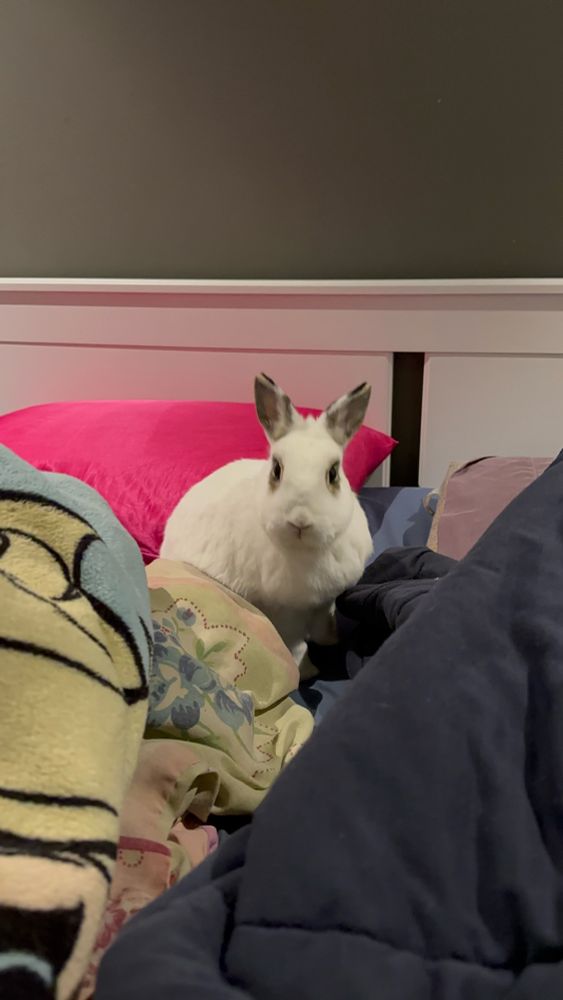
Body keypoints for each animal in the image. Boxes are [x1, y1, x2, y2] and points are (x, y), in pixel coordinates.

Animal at [160, 374, 374, 673]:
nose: (300, 521)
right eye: (277, 470)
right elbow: (296, 647)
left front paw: (332, 639)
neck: (304, 551)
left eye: (333, 473)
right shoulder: (285, 616)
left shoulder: (324, 603)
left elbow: (323, 623)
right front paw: (308, 671)